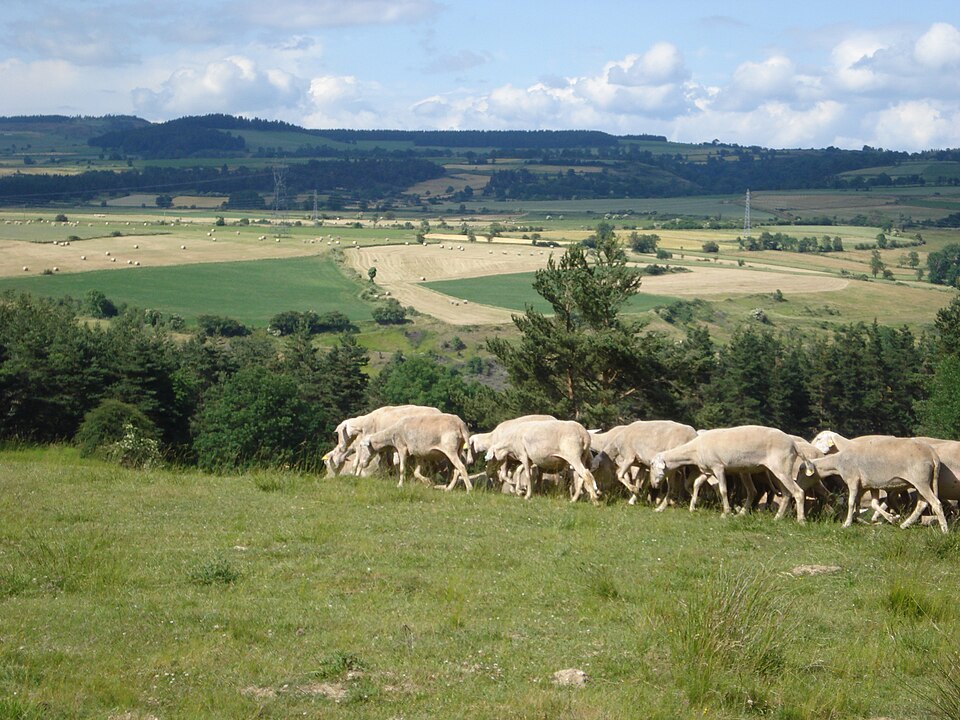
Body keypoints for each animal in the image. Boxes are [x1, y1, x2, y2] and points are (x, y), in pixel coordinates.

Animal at [651, 425, 814, 521]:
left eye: (652, 466)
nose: (653, 484)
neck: (694, 450)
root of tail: (794, 445)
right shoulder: (708, 470)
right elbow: (697, 483)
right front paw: (693, 506)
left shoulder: (718, 467)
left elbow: (723, 490)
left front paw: (726, 513)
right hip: (774, 471)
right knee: (783, 493)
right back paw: (775, 518)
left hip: (782, 468)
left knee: (798, 492)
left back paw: (801, 520)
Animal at [810, 435, 947, 533]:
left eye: (819, 438)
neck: (838, 462)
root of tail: (933, 455)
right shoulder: (871, 485)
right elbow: (873, 504)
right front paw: (891, 518)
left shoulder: (853, 480)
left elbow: (851, 502)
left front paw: (847, 523)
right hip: (923, 482)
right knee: (922, 504)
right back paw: (905, 524)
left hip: (921, 481)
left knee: (936, 503)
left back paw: (944, 530)